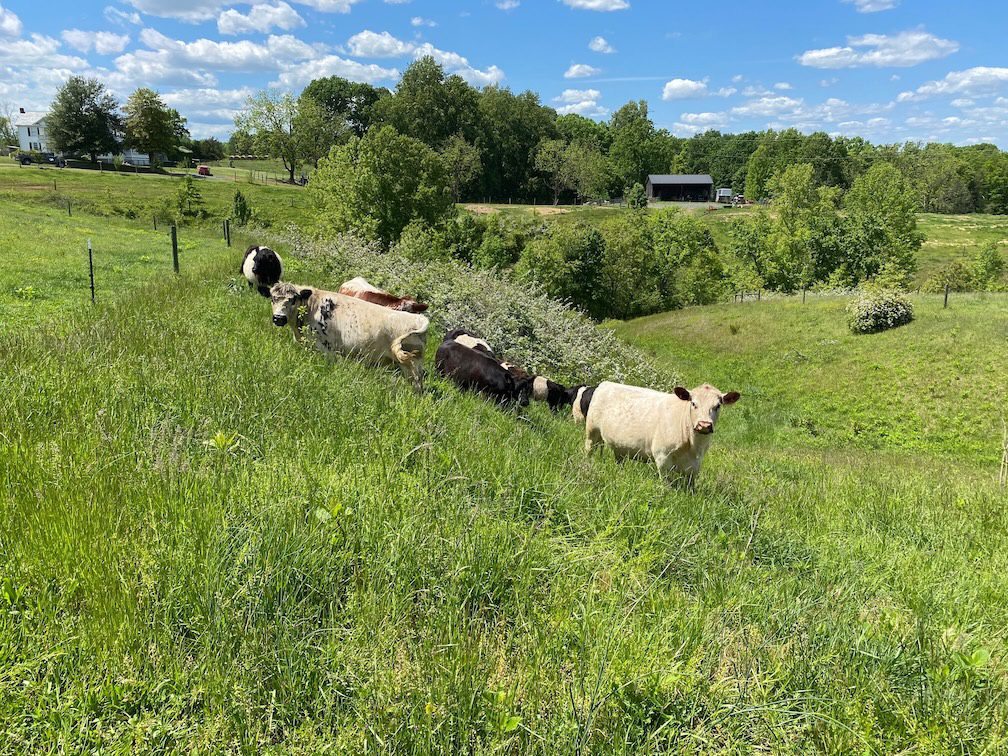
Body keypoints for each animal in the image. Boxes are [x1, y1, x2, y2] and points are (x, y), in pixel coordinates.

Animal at [269, 282, 429, 391]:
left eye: (293, 299)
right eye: (273, 298)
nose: (278, 318)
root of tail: (420, 318)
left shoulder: (326, 349)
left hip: (413, 366)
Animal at [584, 381, 740, 486]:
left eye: (717, 406)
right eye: (693, 403)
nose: (704, 425)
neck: (693, 445)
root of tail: (605, 383)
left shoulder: (695, 465)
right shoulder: (662, 457)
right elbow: (666, 484)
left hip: (619, 445)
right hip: (592, 431)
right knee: (589, 450)